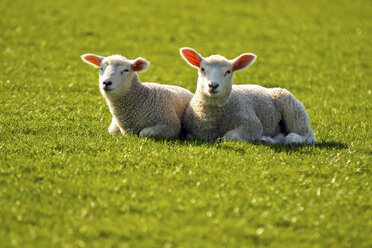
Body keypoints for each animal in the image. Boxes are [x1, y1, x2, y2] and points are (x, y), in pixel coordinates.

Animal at [180, 47, 316, 144]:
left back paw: (292, 139)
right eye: (202, 69)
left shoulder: (251, 124)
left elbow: (228, 137)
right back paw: (269, 139)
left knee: (308, 136)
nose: (213, 85)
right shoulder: (192, 132)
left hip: (294, 110)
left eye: (228, 72)